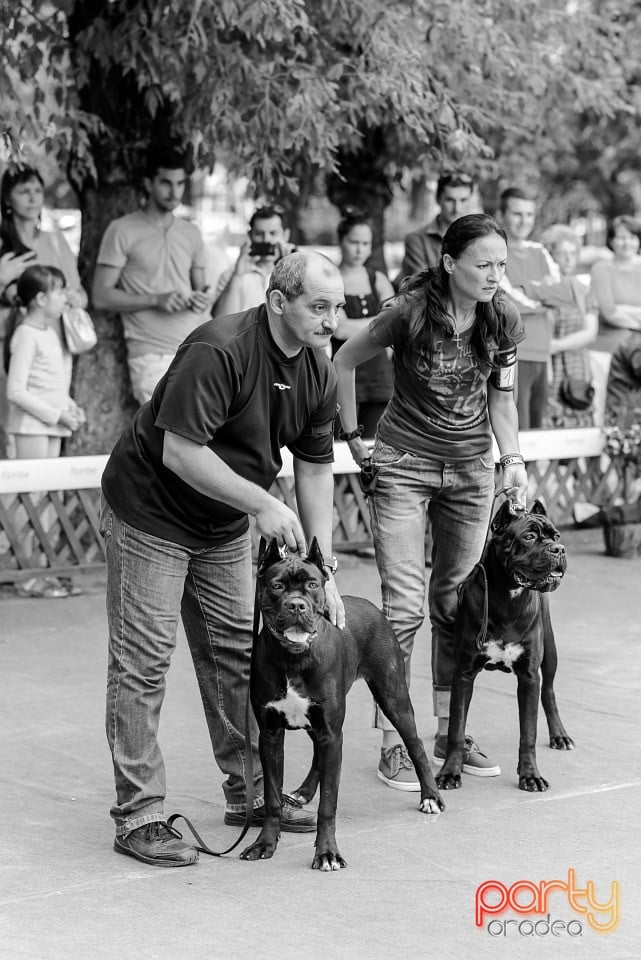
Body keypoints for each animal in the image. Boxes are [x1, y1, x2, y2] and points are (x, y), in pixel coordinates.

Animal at [238, 540, 442, 872]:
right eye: (277, 586)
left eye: (312, 584)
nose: (297, 605)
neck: (293, 658)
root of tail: (370, 606)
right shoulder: (271, 735)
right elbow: (271, 798)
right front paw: (264, 843)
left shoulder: (331, 733)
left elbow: (328, 804)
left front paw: (327, 853)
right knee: (318, 756)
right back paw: (304, 792)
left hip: (393, 698)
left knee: (416, 744)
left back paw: (431, 797)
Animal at [436, 498, 576, 792]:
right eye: (529, 537)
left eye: (556, 536)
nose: (559, 549)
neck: (508, 597)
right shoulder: (463, 673)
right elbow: (455, 728)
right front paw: (450, 772)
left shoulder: (529, 676)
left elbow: (528, 733)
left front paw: (530, 775)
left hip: (550, 652)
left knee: (549, 691)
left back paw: (560, 735)